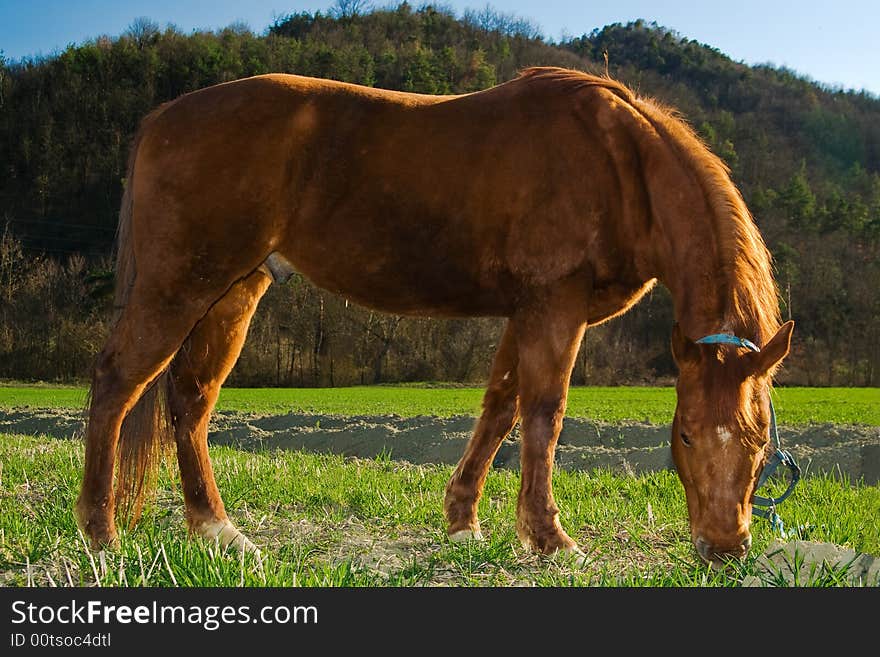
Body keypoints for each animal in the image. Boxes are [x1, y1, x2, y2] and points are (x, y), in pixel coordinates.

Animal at [72, 68, 796, 568]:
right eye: (686, 437)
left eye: (760, 442)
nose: (725, 546)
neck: (620, 162)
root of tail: (164, 117)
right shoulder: (555, 304)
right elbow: (544, 413)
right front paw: (549, 538)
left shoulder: (528, 311)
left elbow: (500, 408)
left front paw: (463, 521)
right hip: (178, 285)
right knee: (118, 383)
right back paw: (101, 533)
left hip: (234, 291)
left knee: (189, 397)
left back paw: (217, 530)